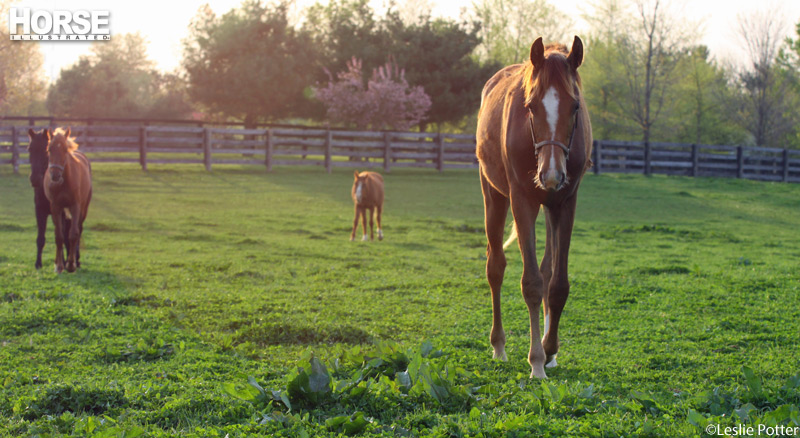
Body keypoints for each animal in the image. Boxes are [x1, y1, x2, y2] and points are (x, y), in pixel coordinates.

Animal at [43, 126, 92, 274]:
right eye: (49, 149)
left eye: (65, 149)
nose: (55, 175)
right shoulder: (55, 207)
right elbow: (58, 236)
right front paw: (59, 265)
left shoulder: (75, 206)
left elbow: (73, 234)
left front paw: (71, 264)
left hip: (83, 208)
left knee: (78, 229)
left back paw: (75, 260)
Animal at [476, 36, 592, 380]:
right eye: (530, 106)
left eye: (575, 106)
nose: (551, 174)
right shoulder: (522, 202)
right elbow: (531, 283)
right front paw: (536, 361)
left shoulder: (565, 203)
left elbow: (557, 284)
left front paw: (550, 349)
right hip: (494, 196)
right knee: (495, 267)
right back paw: (499, 346)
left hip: (549, 206)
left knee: (547, 269)